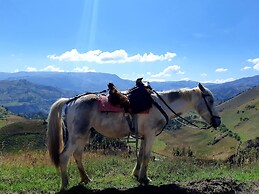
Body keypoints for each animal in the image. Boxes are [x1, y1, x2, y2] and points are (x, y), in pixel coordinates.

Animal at [46, 82, 221, 190]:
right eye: (211, 101)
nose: (218, 121)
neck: (160, 105)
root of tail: (71, 101)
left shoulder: (143, 136)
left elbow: (141, 155)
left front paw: (137, 174)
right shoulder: (150, 135)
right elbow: (147, 156)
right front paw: (145, 178)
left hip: (85, 135)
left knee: (77, 155)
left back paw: (85, 179)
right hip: (77, 136)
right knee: (64, 157)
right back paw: (65, 184)